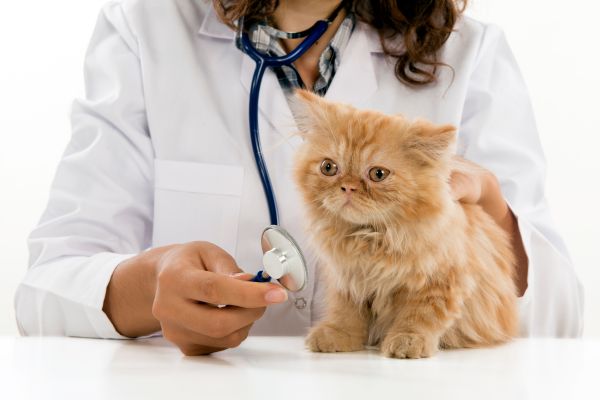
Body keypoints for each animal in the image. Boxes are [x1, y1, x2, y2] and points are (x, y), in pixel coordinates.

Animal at [292, 91, 516, 360]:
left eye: (378, 174)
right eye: (328, 167)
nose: (348, 187)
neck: (369, 238)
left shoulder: (441, 282)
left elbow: (420, 315)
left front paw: (408, 341)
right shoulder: (347, 280)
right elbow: (345, 313)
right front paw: (337, 335)